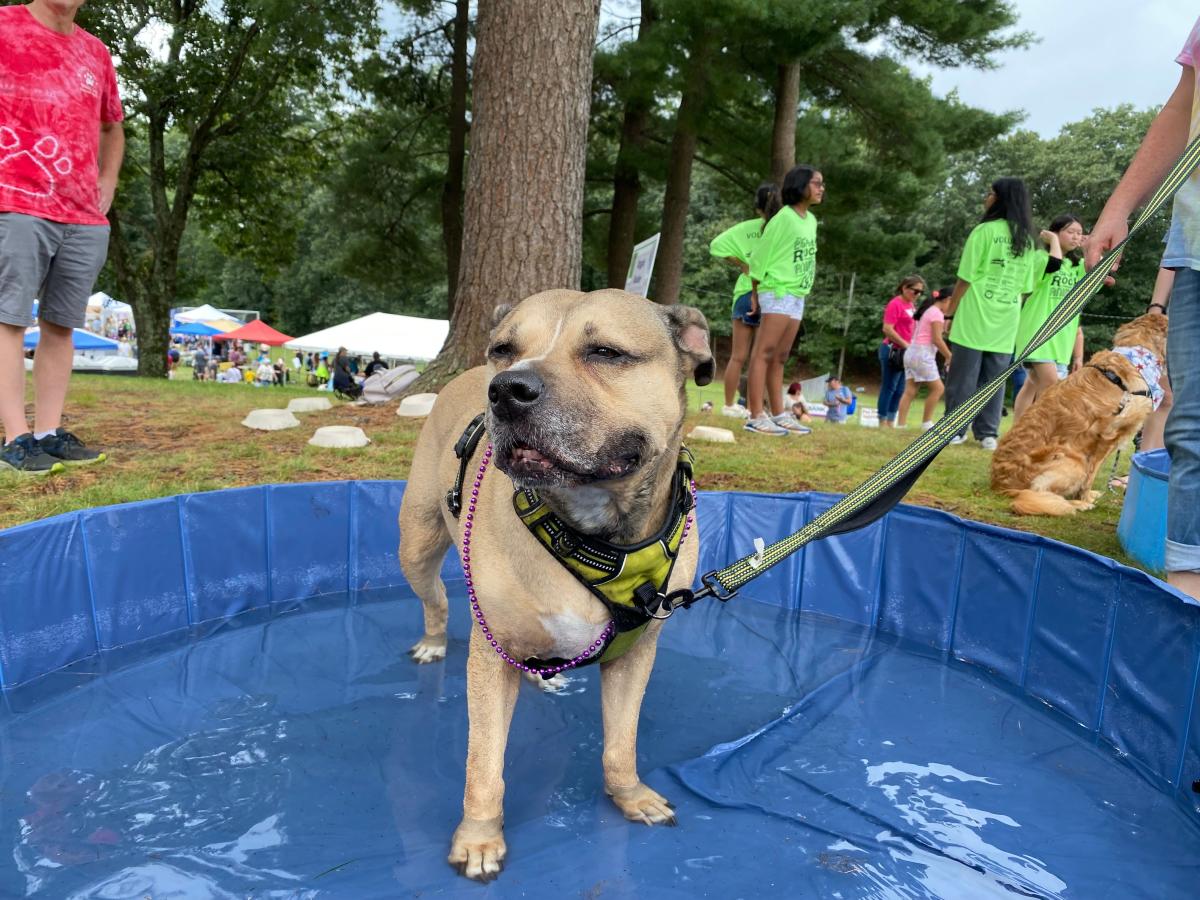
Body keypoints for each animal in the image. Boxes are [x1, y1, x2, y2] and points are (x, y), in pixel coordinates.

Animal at [398, 292, 710, 883]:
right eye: (503, 349)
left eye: (606, 352)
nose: (506, 389)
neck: (593, 532)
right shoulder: (489, 658)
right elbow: (483, 762)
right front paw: (479, 838)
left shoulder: (635, 655)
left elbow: (621, 743)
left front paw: (629, 795)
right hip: (418, 545)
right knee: (434, 598)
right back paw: (432, 640)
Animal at [988, 314, 1166, 513]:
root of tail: (1001, 487)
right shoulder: (1107, 437)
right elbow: (1091, 475)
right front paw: (1085, 498)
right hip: (1073, 461)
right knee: (1039, 493)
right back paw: (1076, 504)